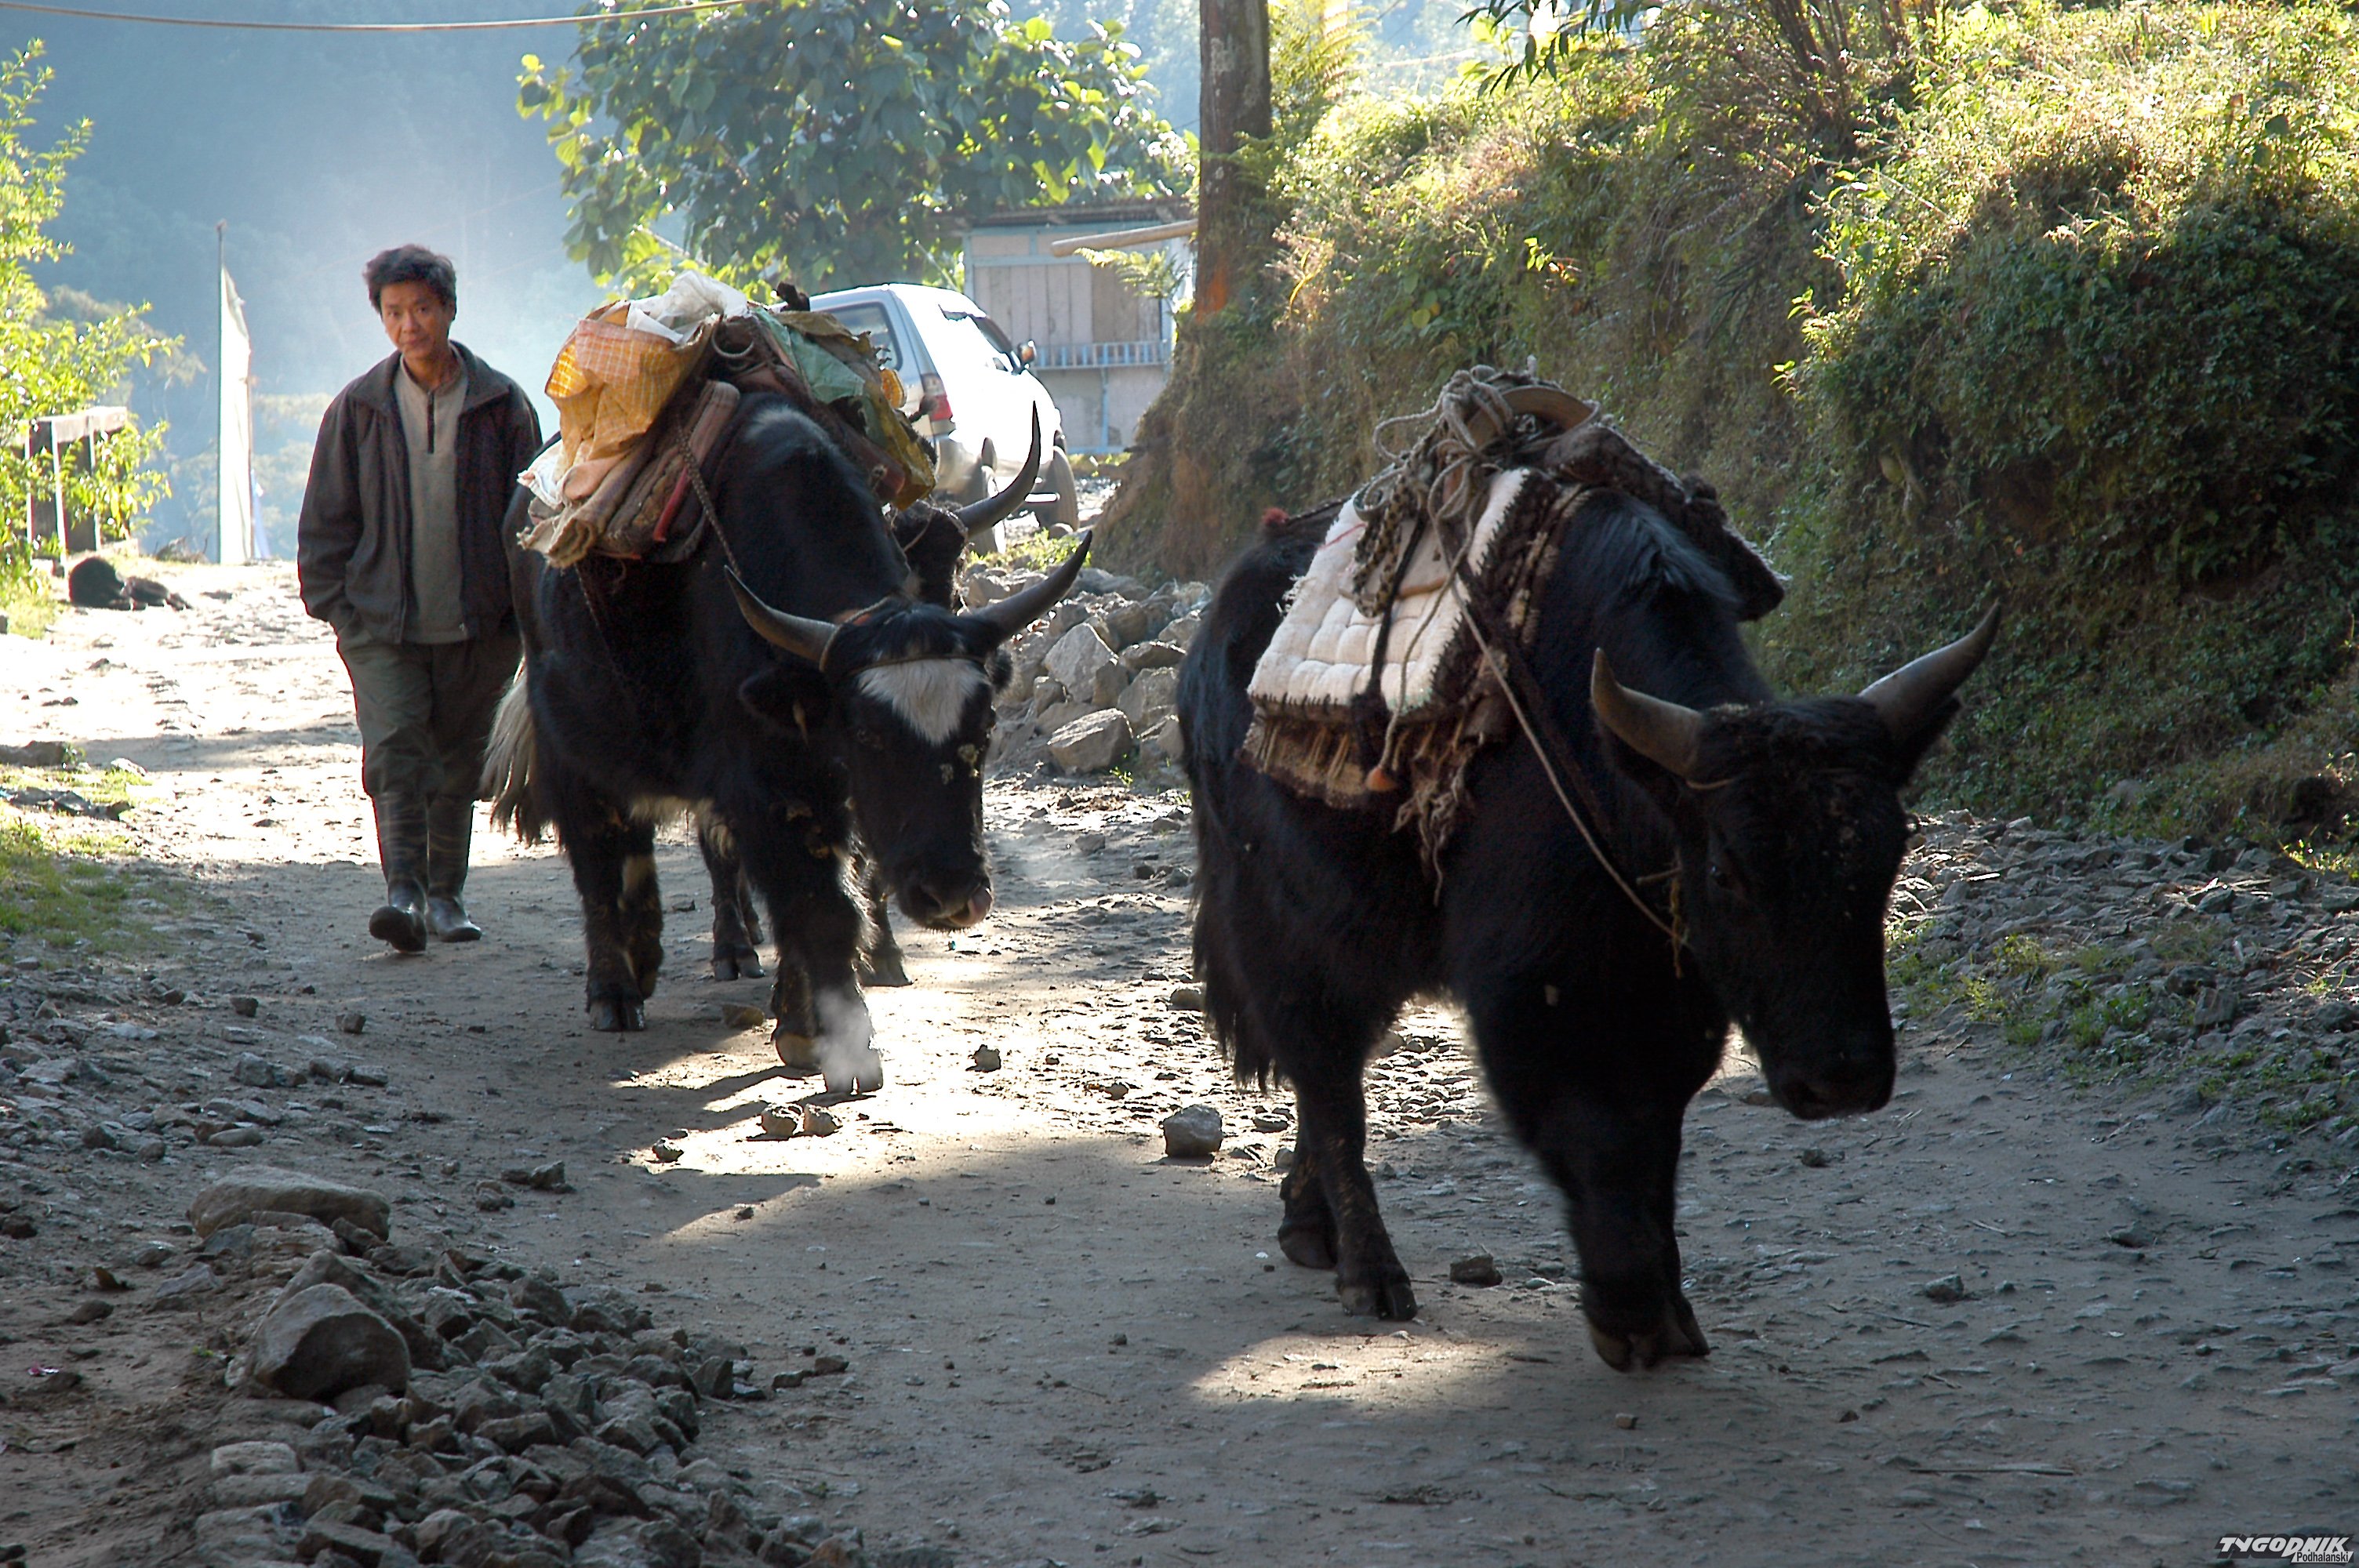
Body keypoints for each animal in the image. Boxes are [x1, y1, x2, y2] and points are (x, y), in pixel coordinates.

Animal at [483, 391, 1086, 1094]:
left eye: (984, 728)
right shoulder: (760, 786)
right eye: (868, 734)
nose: (953, 896)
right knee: (598, 850)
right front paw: (842, 1043)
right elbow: (816, 903)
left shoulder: (830, 792)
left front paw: (807, 1013)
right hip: (569, 745)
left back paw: (653, 954)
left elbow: (839, 886)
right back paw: (617, 990)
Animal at [1178, 489, 1997, 1370]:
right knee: (1326, 1076)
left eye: (1890, 853)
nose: (1840, 1078)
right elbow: (1597, 1132)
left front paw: (1670, 1307)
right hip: (1282, 927)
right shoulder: (1529, 995)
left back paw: (1309, 1226)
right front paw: (1627, 1309)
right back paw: (1369, 1270)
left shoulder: (1677, 1001)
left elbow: (1658, 1137)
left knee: (1330, 1072)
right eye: (1725, 871)